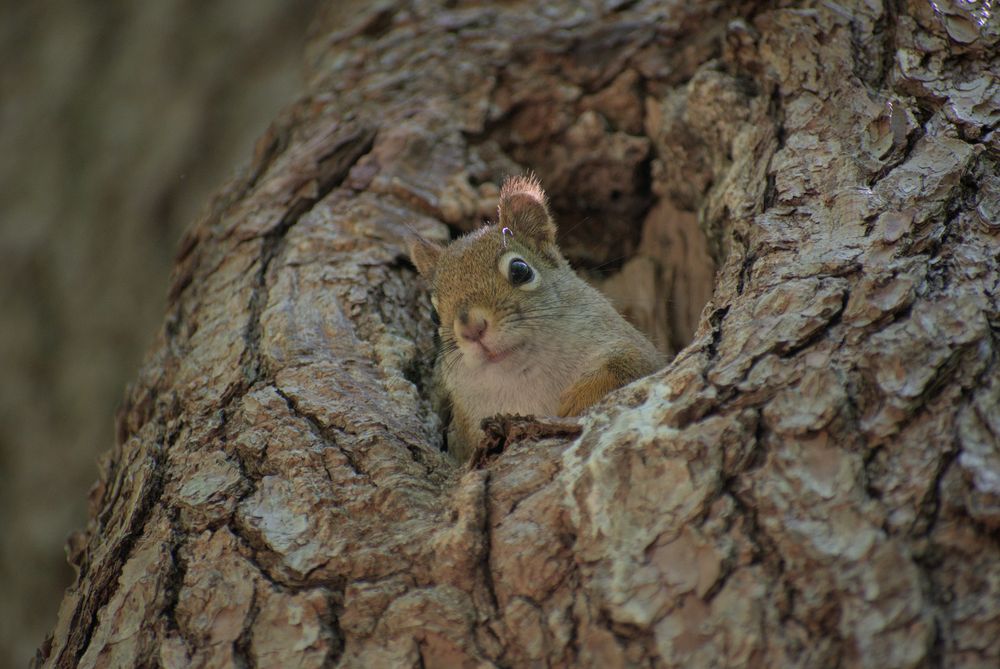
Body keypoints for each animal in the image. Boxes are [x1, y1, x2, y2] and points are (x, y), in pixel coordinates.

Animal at [410, 175, 665, 462]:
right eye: (433, 314)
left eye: (520, 270)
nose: (472, 329)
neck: (526, 376)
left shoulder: (634, 348)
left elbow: (632, 364)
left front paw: (577, 400)